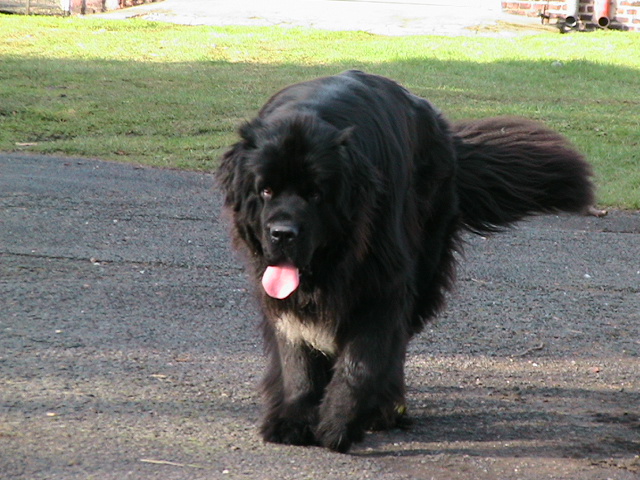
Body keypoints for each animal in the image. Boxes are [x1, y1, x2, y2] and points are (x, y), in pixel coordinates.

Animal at [216, 69, 596, 452]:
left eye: (315, 194)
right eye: (265, 190)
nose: (283, 233)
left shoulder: (382, 284)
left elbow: (362, 359)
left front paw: (339, 422)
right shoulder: (278, 292)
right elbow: (296, 358)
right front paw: (293, 420)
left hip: (424, 265)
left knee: (398, 342)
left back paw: (385, 407)